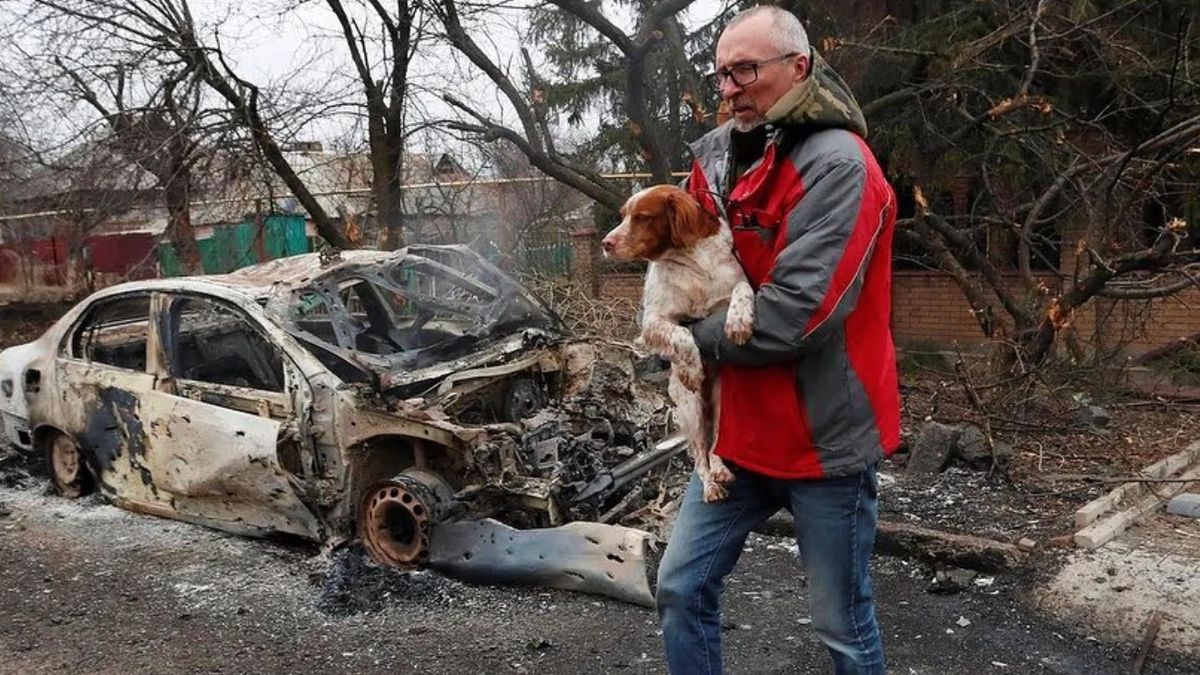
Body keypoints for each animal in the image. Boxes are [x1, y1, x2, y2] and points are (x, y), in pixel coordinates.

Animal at [604, 183, 753, 499]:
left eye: (642, 217)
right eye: (623, 215)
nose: (605, 243)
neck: (691, 261)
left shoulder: (733, 284)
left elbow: (743, 289)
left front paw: (738, 322)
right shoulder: (652, 322)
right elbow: (682, 334)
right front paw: (691, 370)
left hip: (723, 402)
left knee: (715, 442)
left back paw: (720, 469)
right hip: (691, 407)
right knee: (699, 455)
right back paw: (710, 485)